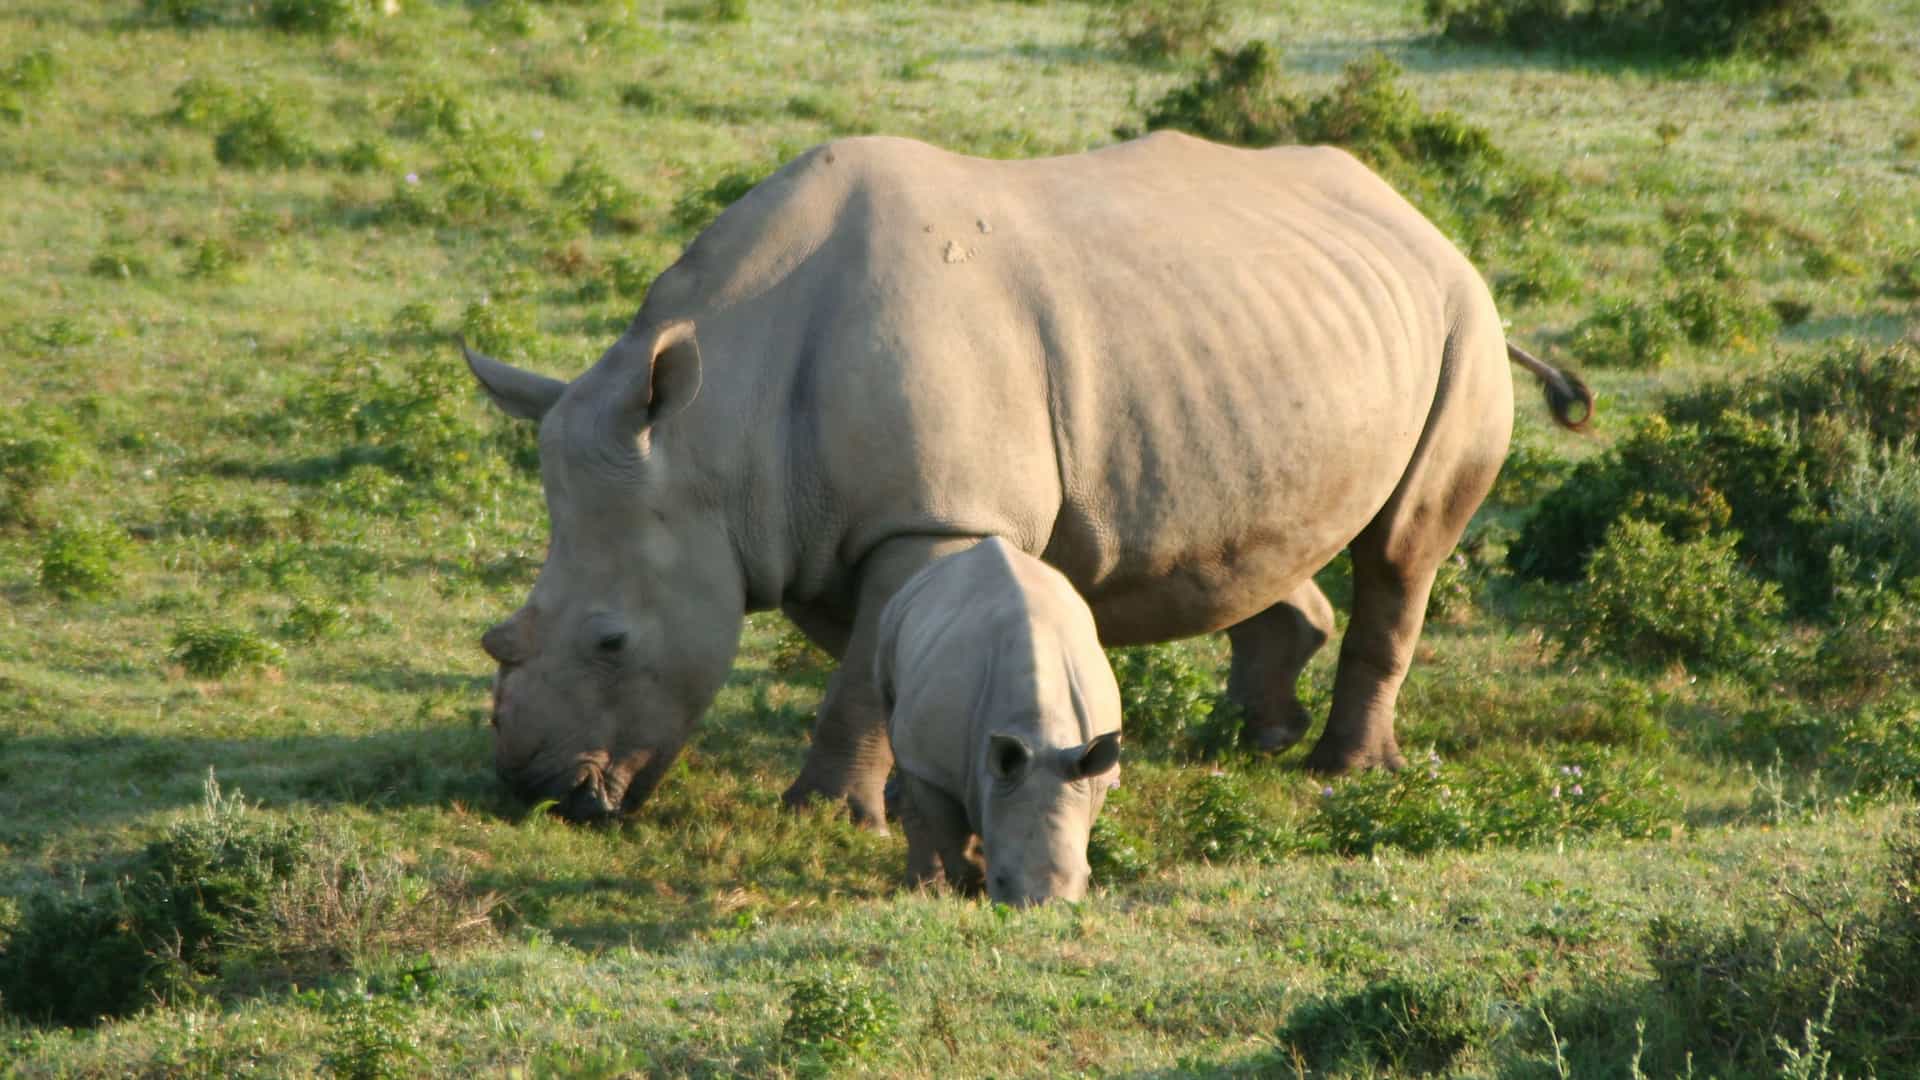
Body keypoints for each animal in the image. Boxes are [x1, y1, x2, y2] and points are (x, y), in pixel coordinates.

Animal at [463, 131, 1591, 824]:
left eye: (612, 643)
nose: (535, 790)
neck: (715, 430)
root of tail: (1422, 221)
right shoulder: (837, 522)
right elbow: (878, 666)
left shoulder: (936, 518)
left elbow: (855, 685)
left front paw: (822, 817)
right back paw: (1248, 737)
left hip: (1459, 322)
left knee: (1401, 547)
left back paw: (1340, 772)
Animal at [875, 537, 1122, 906]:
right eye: (1002, 879)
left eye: (1087, 878)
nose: (1045, 908)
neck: (1040, 729)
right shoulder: (932, 766)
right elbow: (950, 834)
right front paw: (973, 884)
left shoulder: (1086, 773)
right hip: (893, 620)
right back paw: (921, 889)